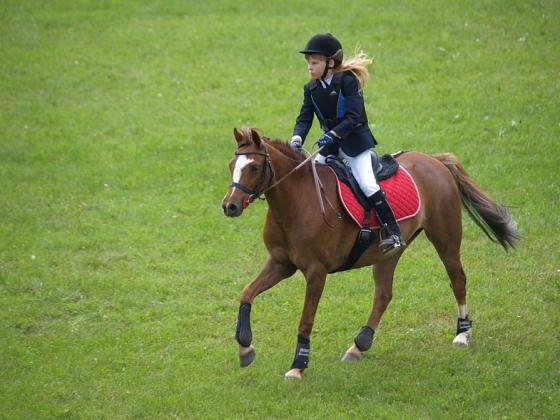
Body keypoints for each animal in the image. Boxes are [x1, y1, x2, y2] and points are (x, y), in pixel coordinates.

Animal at [221, 126, 520, 378]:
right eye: (232, 166)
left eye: (254, 167)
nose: (229, 207)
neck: (295, 203)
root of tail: (434, 160)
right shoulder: (280, 263)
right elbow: (246, 293)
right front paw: (245, 348)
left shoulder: (317, 271)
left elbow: (305, 320)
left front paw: (298, 366)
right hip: (387, 253)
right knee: (384, 294)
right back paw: (359, 345)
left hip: (445, 238)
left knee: (458, 279)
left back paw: (462, 334)